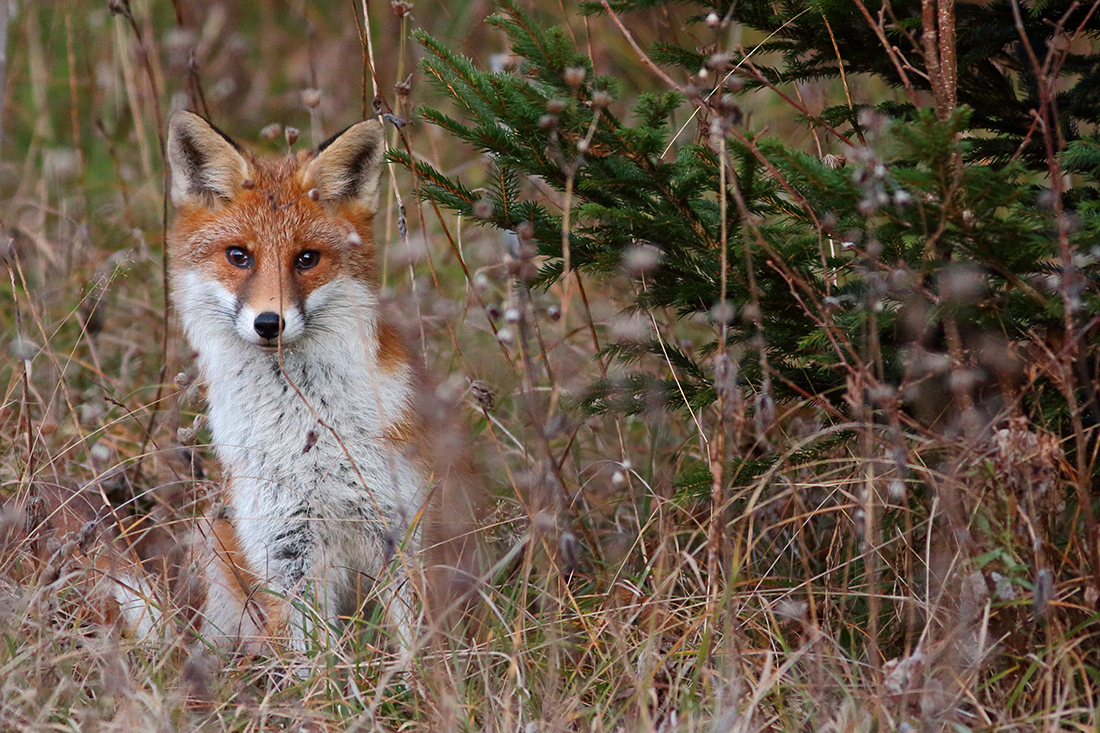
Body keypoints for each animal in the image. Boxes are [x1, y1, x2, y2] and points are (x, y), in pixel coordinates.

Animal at [163, 111, 477, 651]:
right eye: (238, 256)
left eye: (306, 259)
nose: (270, 323)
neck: (304, 432)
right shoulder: (284, 546)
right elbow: (315, 657)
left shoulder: (401, 529)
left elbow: (416, 640)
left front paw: (423, 677)